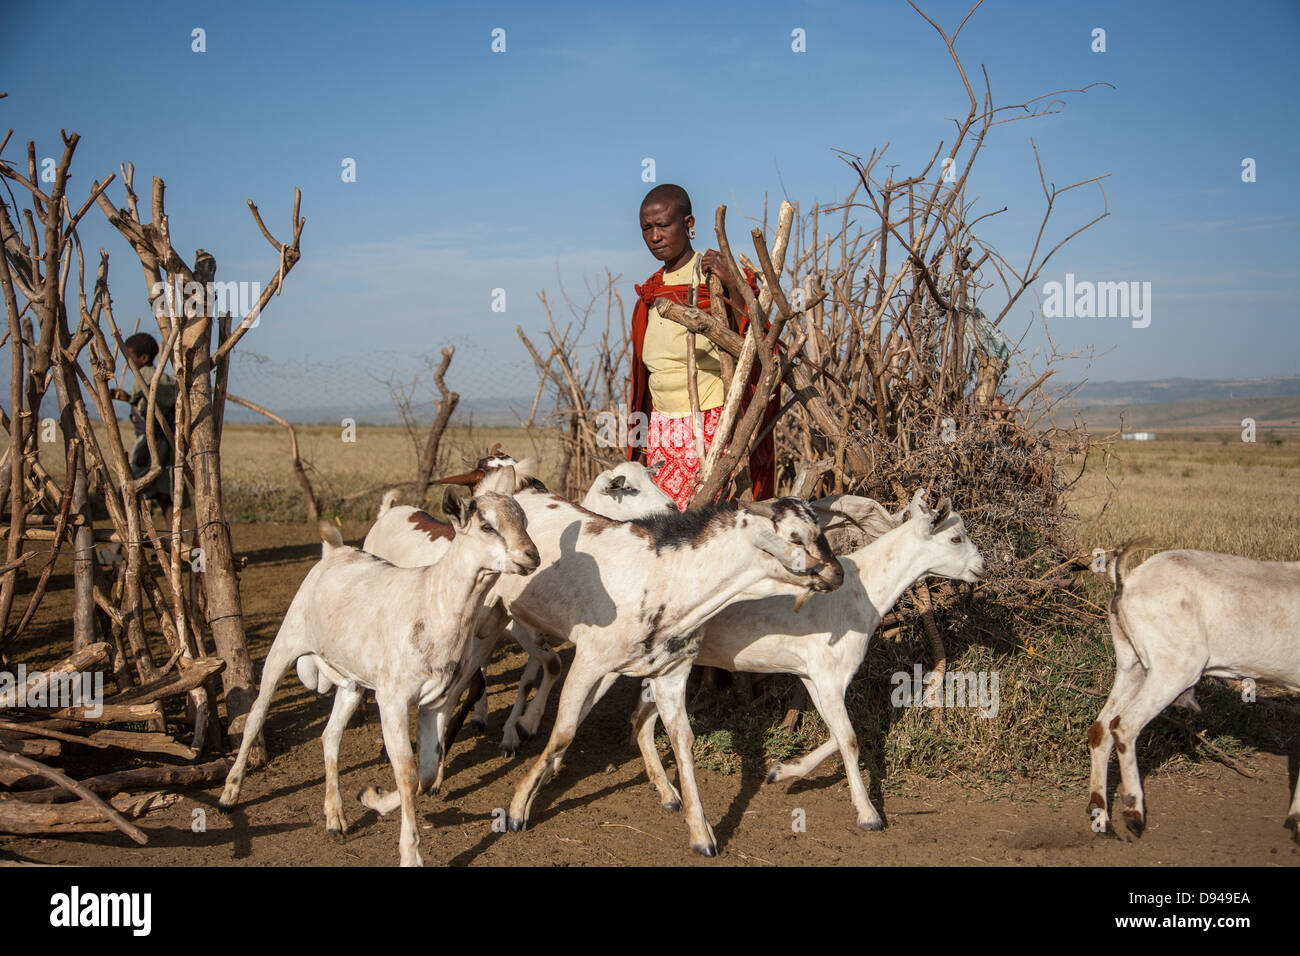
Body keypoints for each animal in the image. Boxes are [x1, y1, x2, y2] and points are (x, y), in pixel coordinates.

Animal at [220, 489, 535, 868]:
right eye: (487, 525)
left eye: (525, 521)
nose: (532, 555)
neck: (434, 602)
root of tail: (336, 549)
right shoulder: (393, 698)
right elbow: (406, 771)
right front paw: (411, 854)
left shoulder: (437, 701)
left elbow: (424, 772)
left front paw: (372, 798)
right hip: (286, 641)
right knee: (255, 715)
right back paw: (229, 794)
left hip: (351, 681)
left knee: (330, 735)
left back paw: (335, 816)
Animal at [629, 494, 982, 832]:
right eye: (955, 538)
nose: (981, 567)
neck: (861, 592)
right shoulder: (828, 676)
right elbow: (849, 738)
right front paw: (868, 814)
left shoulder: (815, 676)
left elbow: (839, 735)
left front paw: (782, 771)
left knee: (641, 716)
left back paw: (669, 795)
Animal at [1086, 541, 1300, 842]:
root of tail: (1129, 579)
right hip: (1174, 670)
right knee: (1124, 726)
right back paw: (1133, 812)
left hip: (1133, 667)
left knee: (1101, 728)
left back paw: (1102, 817)